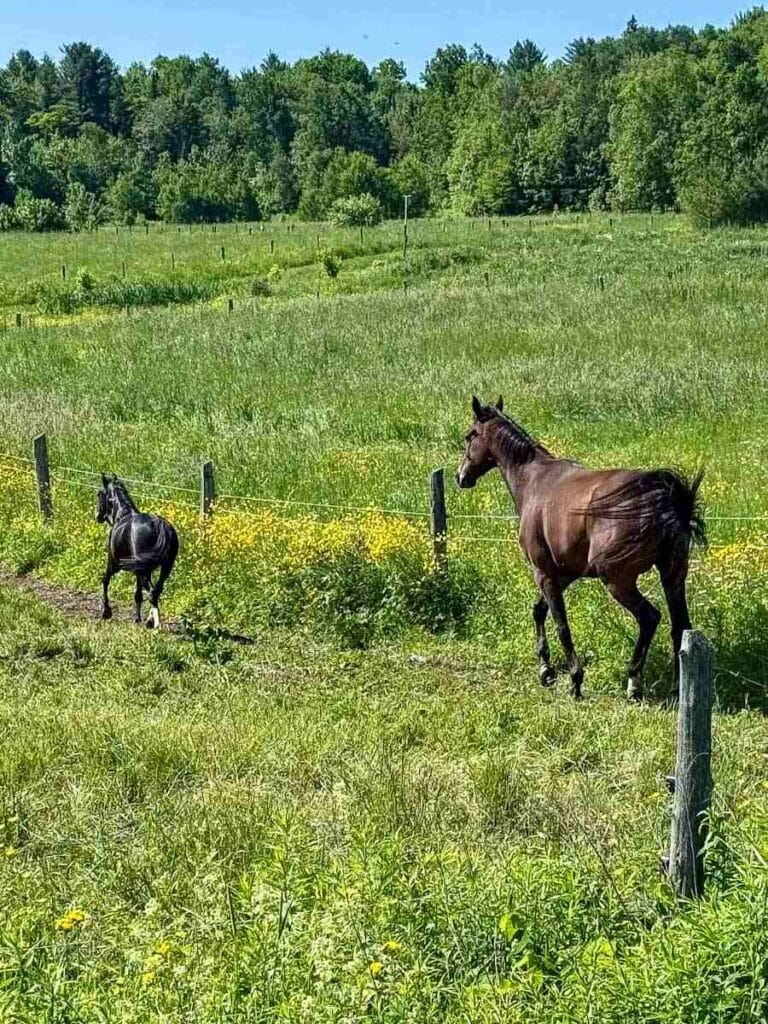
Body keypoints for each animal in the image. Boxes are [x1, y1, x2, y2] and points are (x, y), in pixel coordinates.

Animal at [96, 474, 179, 629]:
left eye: (99, 493)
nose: (97, 515)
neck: (122, 515)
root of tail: (160, 525)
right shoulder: (138, 570)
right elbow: (138, 594)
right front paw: (138, 618)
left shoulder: (113, 563)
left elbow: (105, 580)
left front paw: (106, 612)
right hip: (164, 568)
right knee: (156, 591)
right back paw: (151, 620)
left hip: (142, 569)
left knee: (152, 591)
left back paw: (155, 624)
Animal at [456, 397, 705, 700]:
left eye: (469, 436)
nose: (460, 477)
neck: (533, 480)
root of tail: (663, 498)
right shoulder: (565, 573)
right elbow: (539, 610)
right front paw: (546, 670)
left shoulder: (543, 572)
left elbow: (561, 624)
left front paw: (575, 680)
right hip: (672, 575)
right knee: (680, 625)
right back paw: (678, 686)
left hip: (618, 581)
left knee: (650, 617)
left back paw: (634, 682)